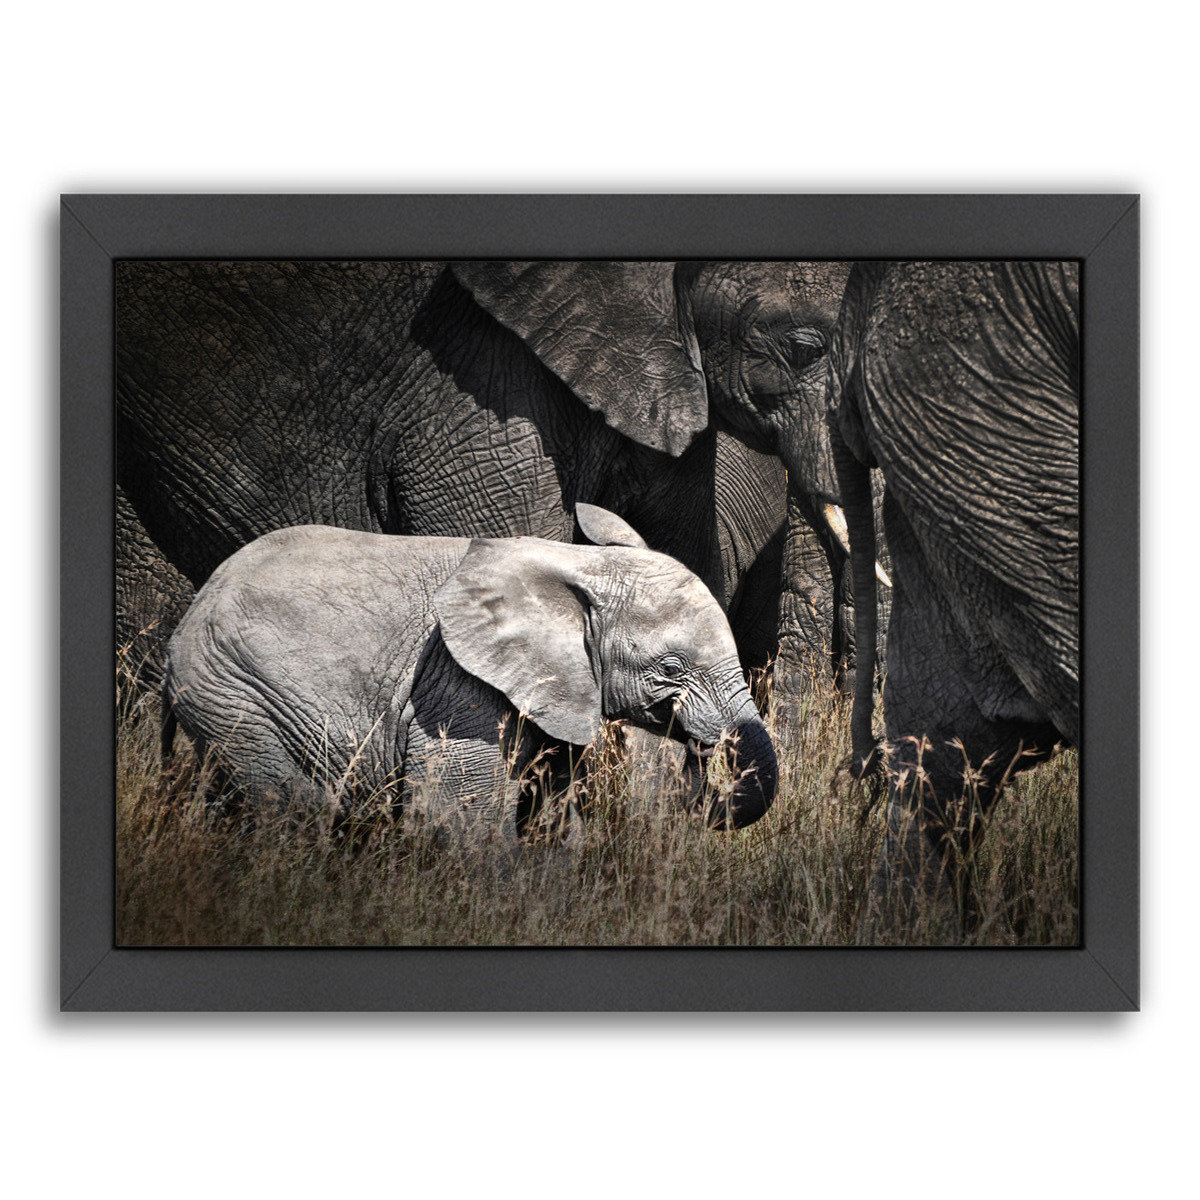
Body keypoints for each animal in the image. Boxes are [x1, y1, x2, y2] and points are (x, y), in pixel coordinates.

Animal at [161, 505, 778, 835]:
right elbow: (458, 825)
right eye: (670, 668)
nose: (698, 763)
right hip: (234, 694)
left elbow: (548, 817)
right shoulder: (459, 690)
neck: (577, 565)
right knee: (292, 806)